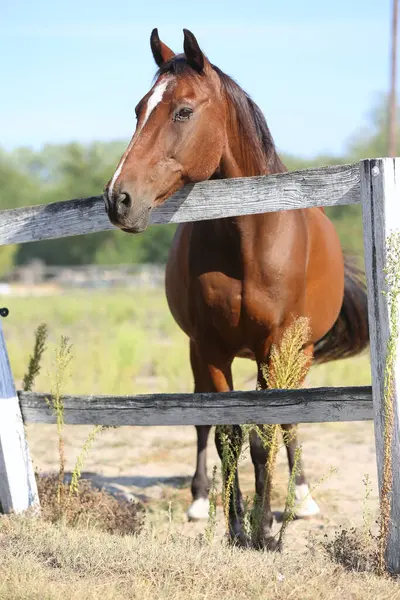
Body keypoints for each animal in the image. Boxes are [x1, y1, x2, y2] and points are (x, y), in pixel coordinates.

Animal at [104, 29, 368, 548]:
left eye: (183, 111)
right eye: (139, 109)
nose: (117, 199)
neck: (250, 234)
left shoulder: (276, 348)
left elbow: (265, 435)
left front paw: (264, 530)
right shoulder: (210, 347)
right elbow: (227, 433)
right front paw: (234, 527)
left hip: (298, 355)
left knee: (290, 420)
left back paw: (303, 499)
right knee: (204, 424)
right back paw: (200, 501)